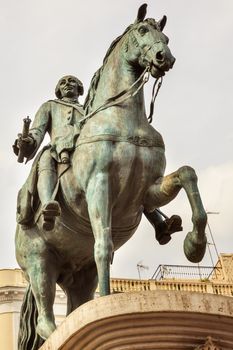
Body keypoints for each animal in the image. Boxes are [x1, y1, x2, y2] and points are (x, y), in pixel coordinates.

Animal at [16, 4, 207, 348]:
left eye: (166, 36)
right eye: (142, 31)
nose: (165, 58)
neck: (124, 118)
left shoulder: (147, 190)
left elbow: (187, 175)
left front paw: (193, 245)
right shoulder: (99, 184)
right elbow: (103, 243)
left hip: (79, 274)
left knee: (75, 305)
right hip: (39, 263)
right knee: (44, 318)